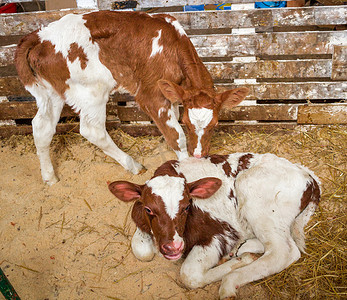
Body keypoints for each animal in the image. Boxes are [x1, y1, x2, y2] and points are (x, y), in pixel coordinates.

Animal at [14, 11, 249, 185]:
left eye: (215, 124)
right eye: (188, 123)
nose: (200, 154)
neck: (171, 46)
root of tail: (39, 37)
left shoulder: (172, 95)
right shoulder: (151, 95)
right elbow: (176, 136)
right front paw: (188, 166)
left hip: (52, 93)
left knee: (42, 127)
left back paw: (50, 177)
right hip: (92, 91)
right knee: (92, 130)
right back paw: (133, 165)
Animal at [108, 154, 320, 298]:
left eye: (187, 206)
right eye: (148, 209)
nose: (173, 247)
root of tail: (307, 175)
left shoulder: (220, 233)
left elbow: (190, 275)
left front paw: (240, 262)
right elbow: (142, 250)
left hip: (255, 195)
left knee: (282, 251)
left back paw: (231, 281)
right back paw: (244, 248)